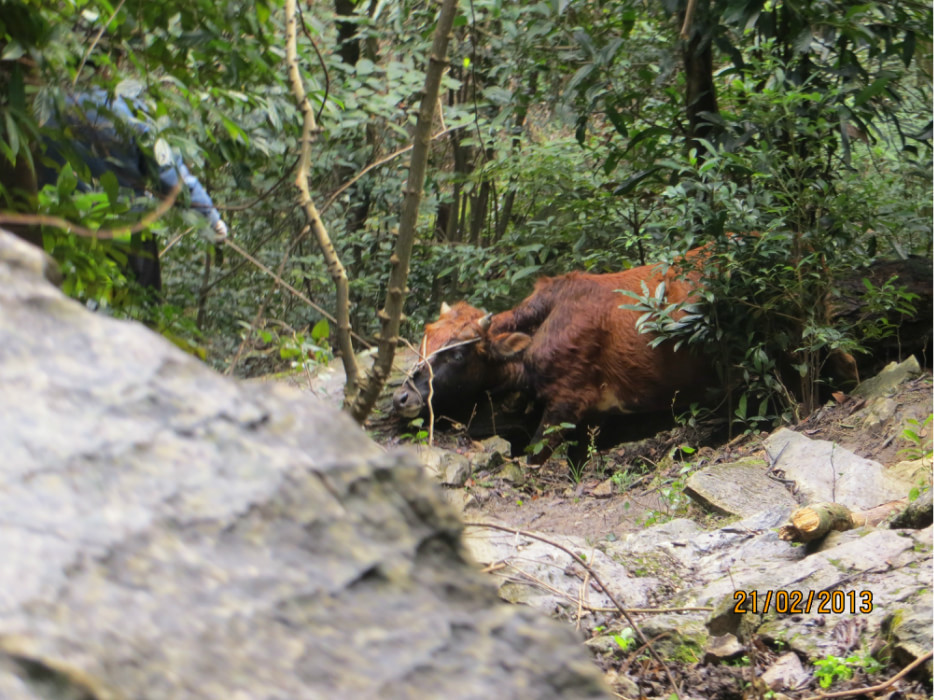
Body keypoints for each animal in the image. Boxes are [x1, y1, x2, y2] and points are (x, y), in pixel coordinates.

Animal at [392, 249, 712, 462]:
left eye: (458, 354)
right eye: (424, 339)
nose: (402, 397)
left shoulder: (567, 404)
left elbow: (533, 458)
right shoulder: (593, 420)